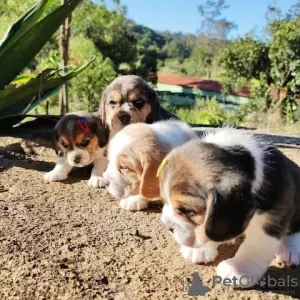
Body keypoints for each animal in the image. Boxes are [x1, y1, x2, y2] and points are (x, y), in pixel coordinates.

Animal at [157, 128, 300, 288]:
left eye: (189, 211)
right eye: (164, 200)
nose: (167, 226)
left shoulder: (271, 219)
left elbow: (254, 246)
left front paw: (239, 269)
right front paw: (200, 249)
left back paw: (290, 249)